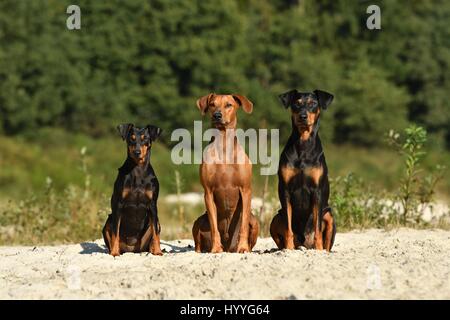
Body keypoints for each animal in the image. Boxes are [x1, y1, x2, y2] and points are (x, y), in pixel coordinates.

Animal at [103, 124, 163, 256]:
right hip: (108, 221)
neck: (138, 170)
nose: (137, 152)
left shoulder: (152, 205)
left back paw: (153, 250)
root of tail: (131, 250)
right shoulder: (119, 205)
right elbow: (115, 232)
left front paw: (158, 252)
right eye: (132, 138)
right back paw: (115, 250)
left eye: (145, 138)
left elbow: (155, 233)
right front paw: (114, 253)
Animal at [191, 94, 260, 254]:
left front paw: (243, 247)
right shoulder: (208, 192)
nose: (217, 115)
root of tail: (229, 246)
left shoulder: (246, 190)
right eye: (212, 104)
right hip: (197, 222)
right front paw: (216, 248)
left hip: (255, 222)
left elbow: (243, 225)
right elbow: (214, 226)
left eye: (229, 105)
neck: (223, 145)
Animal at [268, 89, 336, 251]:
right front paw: (288, 248)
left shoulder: (317, 191)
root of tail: (305, 243)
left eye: (313, 103)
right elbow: (288, 228)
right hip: (276, 218)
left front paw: (319, 249)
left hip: (329, 215)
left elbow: (317, 227)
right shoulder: (285, 190)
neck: (303, 144)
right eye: (296, 104)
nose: (303, 116)